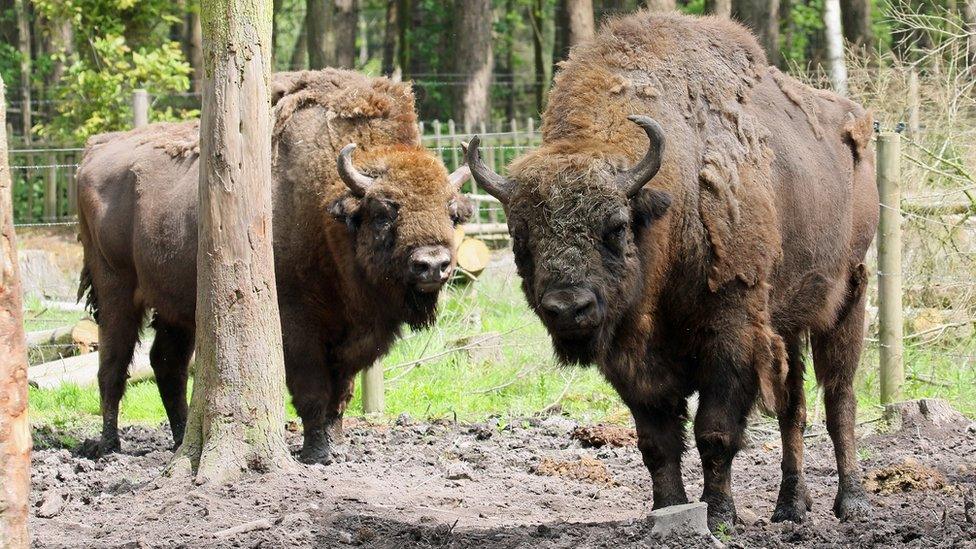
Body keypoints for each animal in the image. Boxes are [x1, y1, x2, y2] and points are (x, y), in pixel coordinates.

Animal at [76, 67, 472, 462]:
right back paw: (108, 445)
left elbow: (340, 393)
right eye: (384, 211)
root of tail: (94, 151)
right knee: (113, 365)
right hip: (115, 289)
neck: (329, 213)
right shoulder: (297, 324)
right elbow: (312, 389)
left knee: (166, 363)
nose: (432, 265)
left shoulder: (351, 334)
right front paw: (317, 451)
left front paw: (336, 444)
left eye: (452, 213)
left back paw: (178, 440)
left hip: (176, 305)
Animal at [464, 12, 876, 528]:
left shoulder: (732, 335)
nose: (567, 308)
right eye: (519, 237)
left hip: (849, 298)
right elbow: (657, 442)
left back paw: (852, 502)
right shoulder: (631, 357)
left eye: (617, 226)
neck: (667, 212)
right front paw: (667, 509)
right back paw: (790, 507)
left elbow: (715, 432)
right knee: (793, 409)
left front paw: (720, 516)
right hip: (787, 322)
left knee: (840, 399)